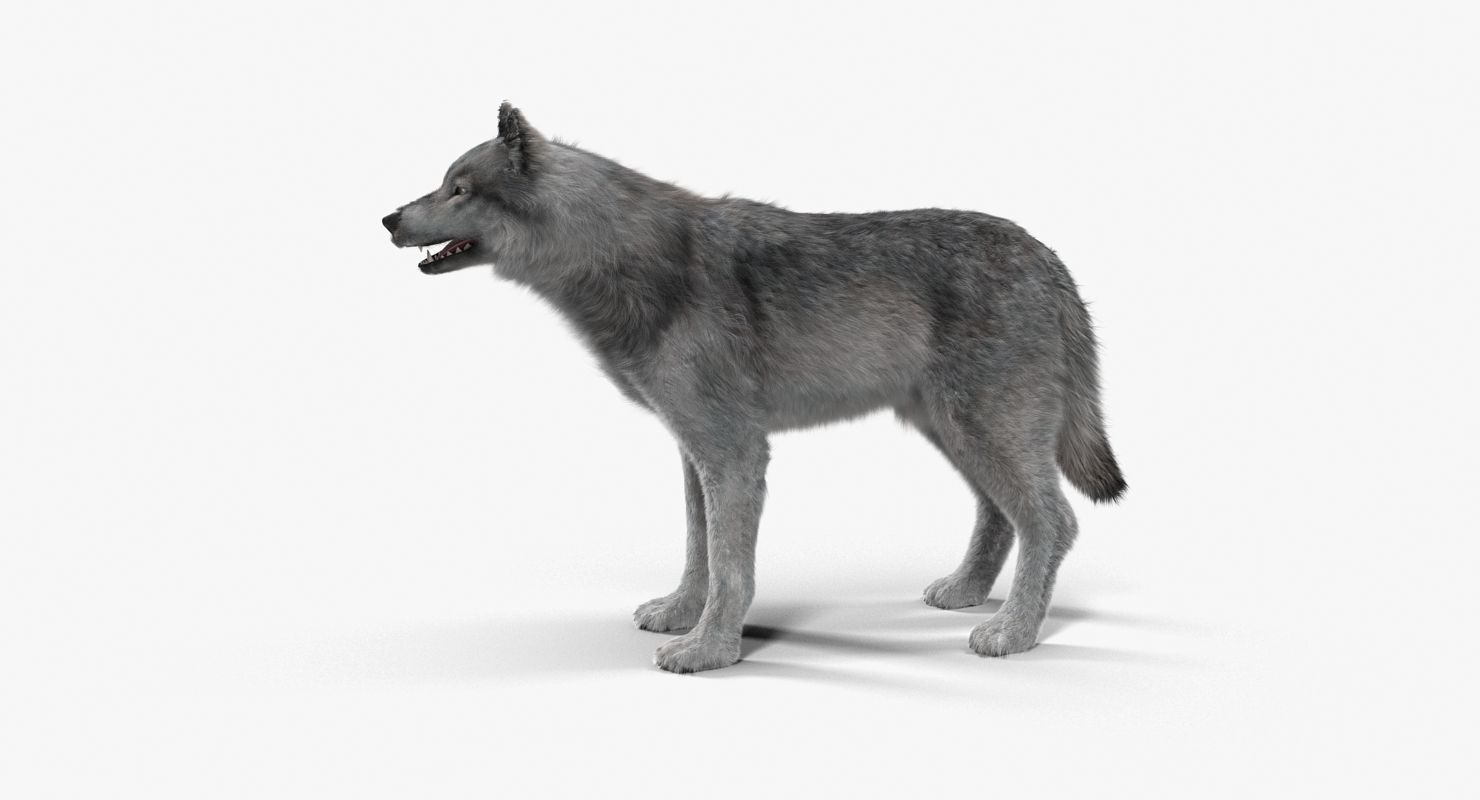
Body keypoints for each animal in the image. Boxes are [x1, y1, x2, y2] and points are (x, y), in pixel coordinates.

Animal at [382, 103, 1126, 673]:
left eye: (459, 189)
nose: (387, 219)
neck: (626, 261)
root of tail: (1049, 258)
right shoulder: (696, 451)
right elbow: (699, 551)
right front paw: (681, 615)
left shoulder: (734, 452)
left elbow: (729, 565)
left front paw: (709, 652)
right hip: (956, 434)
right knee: (1001, 516)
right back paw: (967, 592)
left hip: (982, 432)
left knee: (1052, 521)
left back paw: (1014, 634)